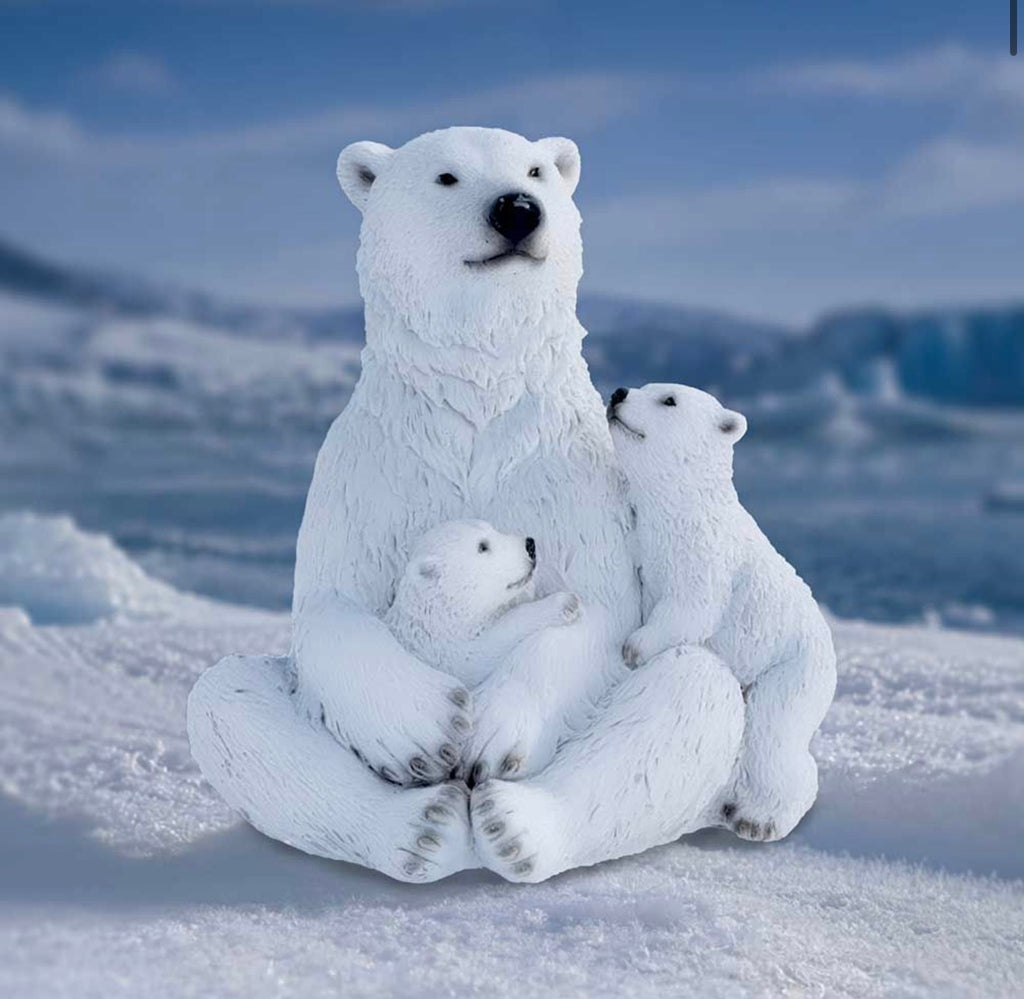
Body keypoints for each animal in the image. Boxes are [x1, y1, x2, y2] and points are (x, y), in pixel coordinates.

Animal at [187, 127, 746, 884]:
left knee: (692, 694)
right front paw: (426, 731)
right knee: (225, 700)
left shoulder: (565, 468)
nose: (518, 210)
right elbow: (331, 601)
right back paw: (423, 828)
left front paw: (491, 733)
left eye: (536, 170)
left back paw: (514, 828)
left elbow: (598, 603)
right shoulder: (371, 470)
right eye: (446, 177)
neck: (478, 399)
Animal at [607, 383, 837, 841]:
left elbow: (691, 608)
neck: (683, 511)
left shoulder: (706, 555)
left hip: (792, 669)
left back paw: (759, 818)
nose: (619, 391)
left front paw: (635, 648)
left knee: (773, 734)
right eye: (644, 385)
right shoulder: (645, 543)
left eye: (669, 399)